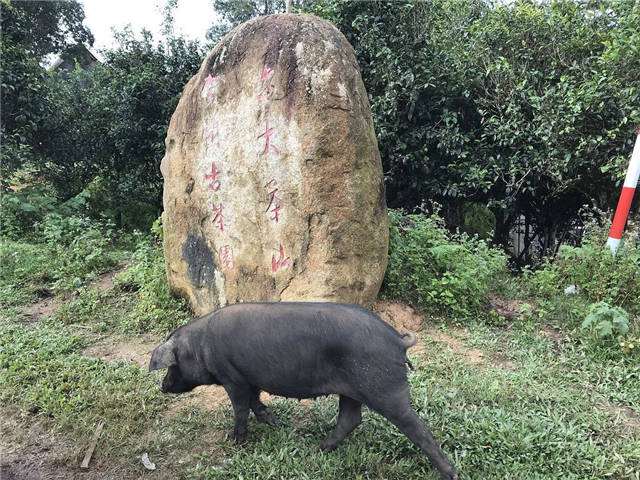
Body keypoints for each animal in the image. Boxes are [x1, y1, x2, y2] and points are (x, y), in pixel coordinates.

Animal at [150, 302, 458, 478]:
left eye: (171, 365)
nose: (163, 386)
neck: (200, 348)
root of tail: (397, 340)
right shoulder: (248, 378)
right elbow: (255, 400)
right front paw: (273, 421)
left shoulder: (232, 378)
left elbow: (240, 408)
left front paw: (234, 441)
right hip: (350, 391)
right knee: (350, 419)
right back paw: (318, 449)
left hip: (384, 388)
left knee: (417, 427)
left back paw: (451, 473)